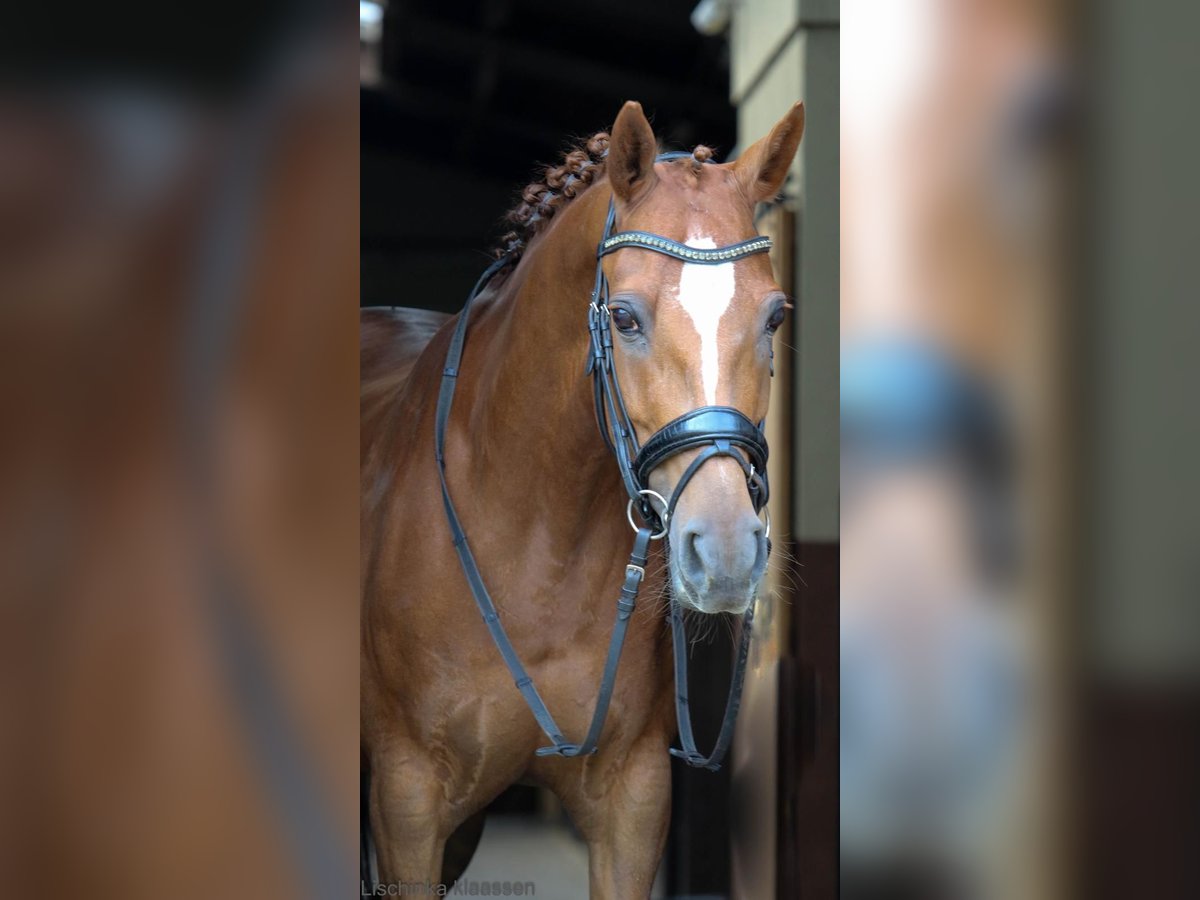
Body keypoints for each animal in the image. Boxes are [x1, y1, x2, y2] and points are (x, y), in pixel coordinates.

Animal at [357, 102, 806, 897]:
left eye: (775, 316)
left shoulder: (632, 799)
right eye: (623, 317)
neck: (538, 542)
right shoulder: (407, 801)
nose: (726, 552)